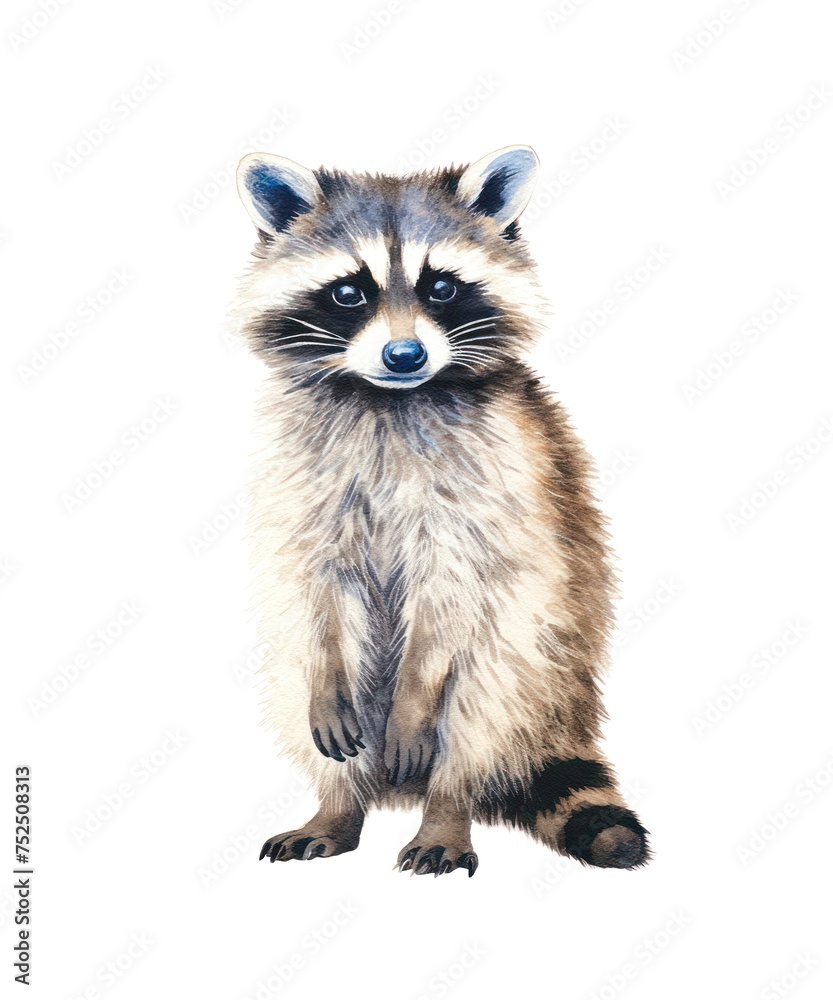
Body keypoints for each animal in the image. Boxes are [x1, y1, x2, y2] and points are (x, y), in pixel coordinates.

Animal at [232, 146, 650, 877]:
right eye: (349, 291)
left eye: (442, 288)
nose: (405, 354)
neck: (387, 398)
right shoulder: (305, 481)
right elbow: (316, 581)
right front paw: (326, 673)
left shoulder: (486, 488)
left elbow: (451, 590)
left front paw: (422, 707)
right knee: (306, 692)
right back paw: (338, 807)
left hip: (531, 653)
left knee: (478, 710)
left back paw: (445, 812)